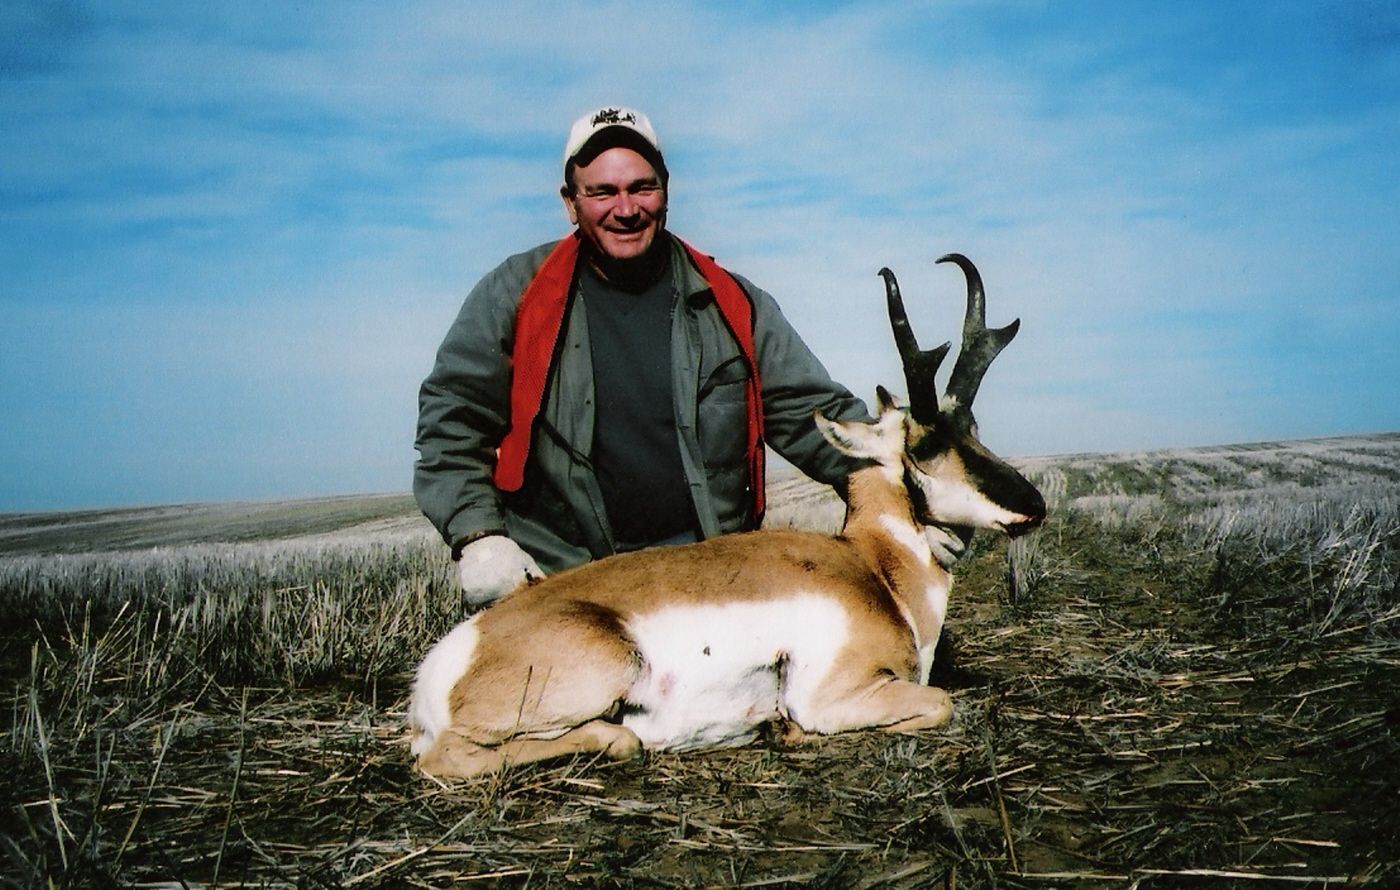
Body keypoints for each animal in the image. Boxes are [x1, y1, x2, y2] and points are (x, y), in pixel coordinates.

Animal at [408, 253, 1046, 779]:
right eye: (926, 446)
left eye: (974, 429)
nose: (1034, 505)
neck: (873, 569)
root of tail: (447, 661)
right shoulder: (832, 694)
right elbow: (940, 703)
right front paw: (788, 730)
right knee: (454, 755)